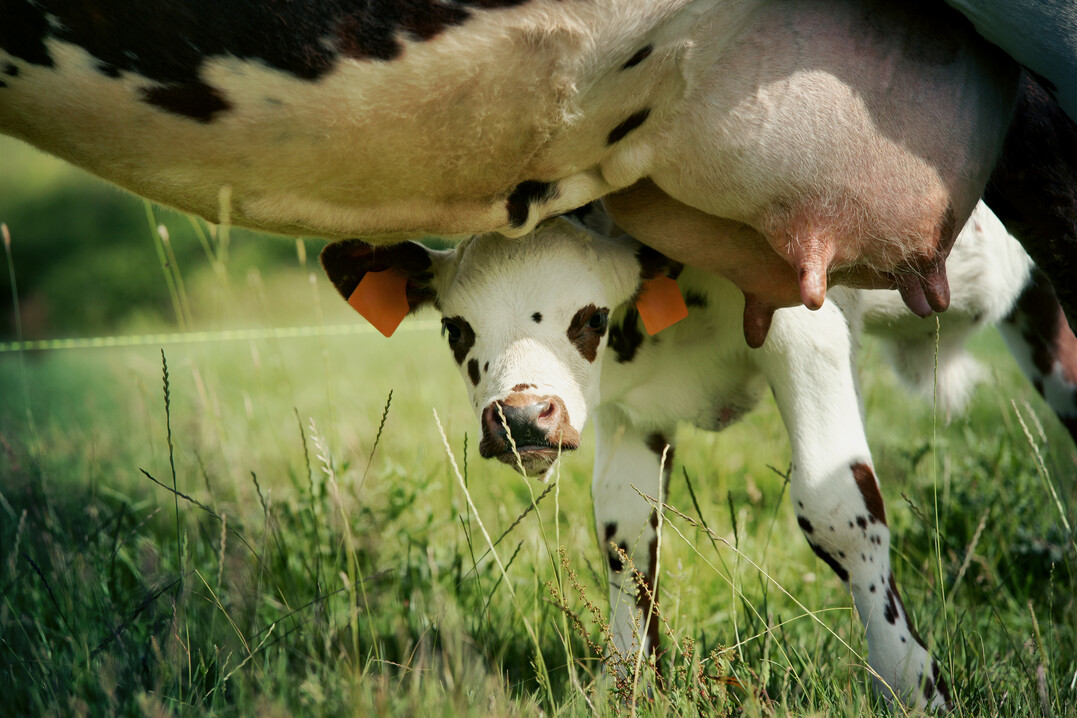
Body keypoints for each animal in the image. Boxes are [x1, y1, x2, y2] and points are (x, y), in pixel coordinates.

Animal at [319, 201, 1077, 710]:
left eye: (589, 318)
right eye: (455, 328)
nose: (523, 420)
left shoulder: (804, 327)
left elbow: (836, 510)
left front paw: (910, 685)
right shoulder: (630, 412)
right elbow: (625, 536)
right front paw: (629, 688)